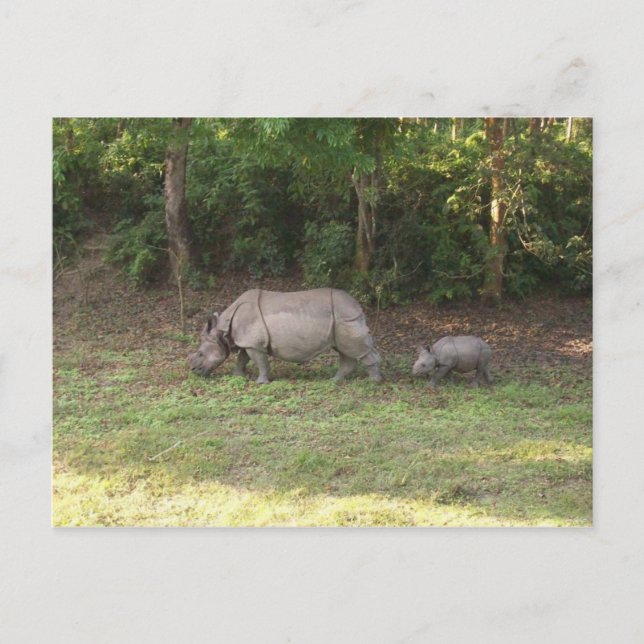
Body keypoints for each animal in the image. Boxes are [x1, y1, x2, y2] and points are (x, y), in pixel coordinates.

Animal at [189, 288, 382, 384]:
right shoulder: (248, 341)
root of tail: (357, 306)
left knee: (356, 349)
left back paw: (374, 382)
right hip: (341, 320)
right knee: (345, 350)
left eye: (200, 354)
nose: (194, 371)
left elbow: (260, 362)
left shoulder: (253, 343)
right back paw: (334, 380)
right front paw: (238, 376)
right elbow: (242, 359)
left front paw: (261, 383)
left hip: (345, 318)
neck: (222, 330)